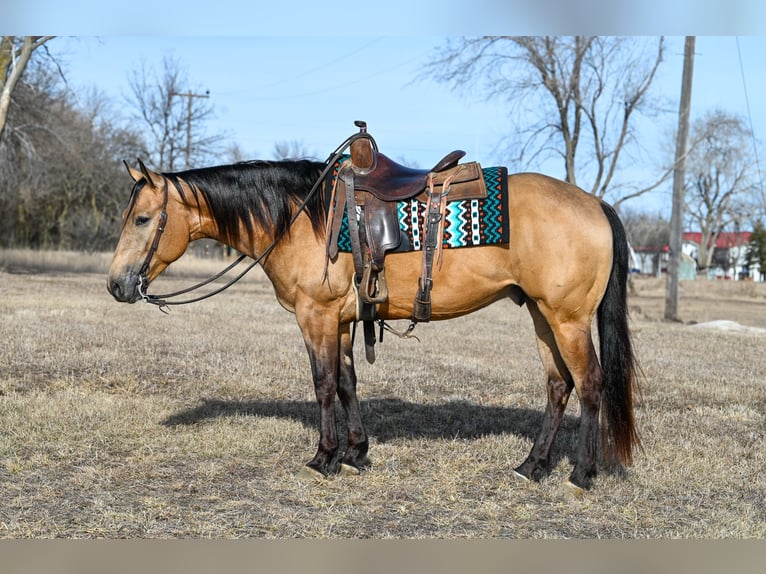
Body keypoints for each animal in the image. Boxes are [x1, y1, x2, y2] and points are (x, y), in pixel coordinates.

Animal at [105, 128, 640, 498]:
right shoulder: (342, 321)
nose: (116, 284)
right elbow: (347, 383)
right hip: (541, 315)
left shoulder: (316, 316)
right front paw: (355, 454)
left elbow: (323, 385)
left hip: (567, 318)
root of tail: (594, 202)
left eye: (143, 219)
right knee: (558, 386)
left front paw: (323, 458)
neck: (301, 217)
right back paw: (533, 465)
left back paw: (581, 473)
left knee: (589, 384)